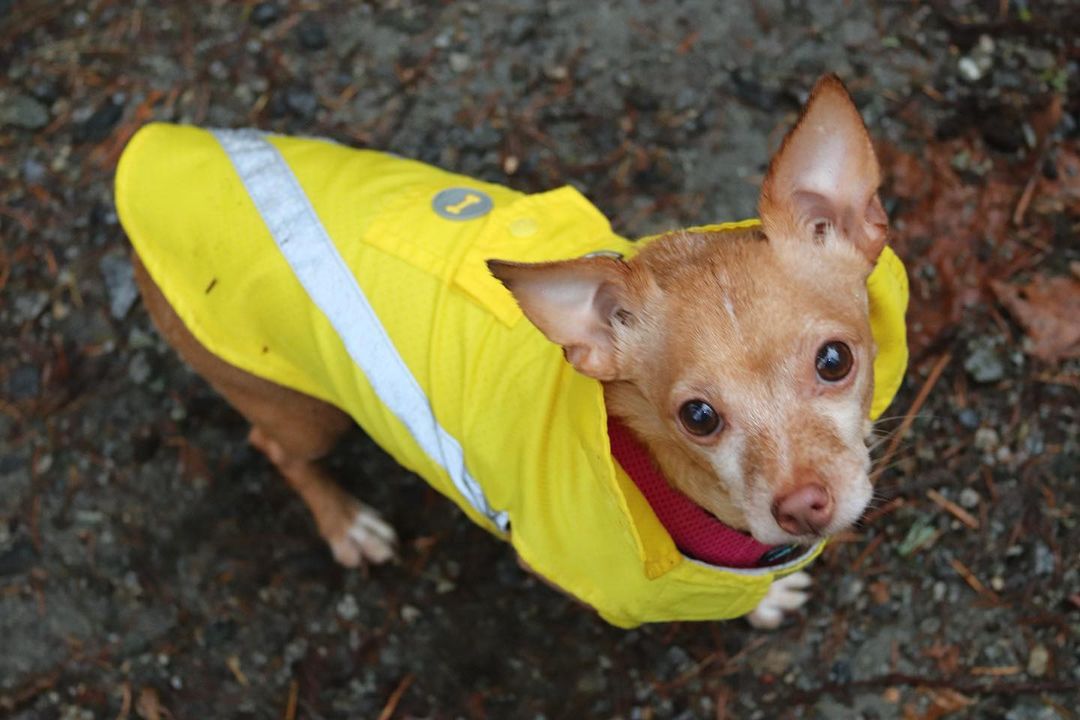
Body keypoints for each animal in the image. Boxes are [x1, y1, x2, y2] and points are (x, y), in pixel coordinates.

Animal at [118, 71, 907, 626]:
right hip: (301, 410)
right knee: (274, 446)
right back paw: (348, 524)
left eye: (834, 362)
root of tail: (155, 145)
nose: (802, 507)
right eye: (699, 417)